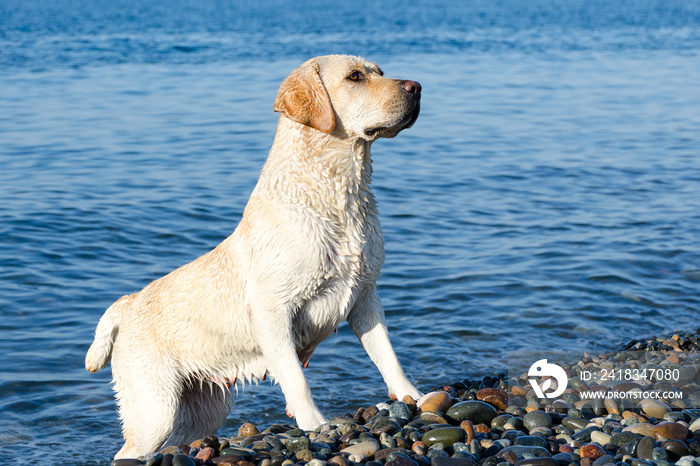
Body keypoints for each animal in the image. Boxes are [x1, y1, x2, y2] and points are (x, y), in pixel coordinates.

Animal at [82, 55, 422, 458]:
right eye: (354, 77)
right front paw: (315, 424)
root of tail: (127, 303)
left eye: (380, 72)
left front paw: (415, 397)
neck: (339, 196)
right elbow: (295, 376)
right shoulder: (272, 309)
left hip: (202, 410)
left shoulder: (365, 296)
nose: (417, 86)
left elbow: (388, 357)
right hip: (155, 408)